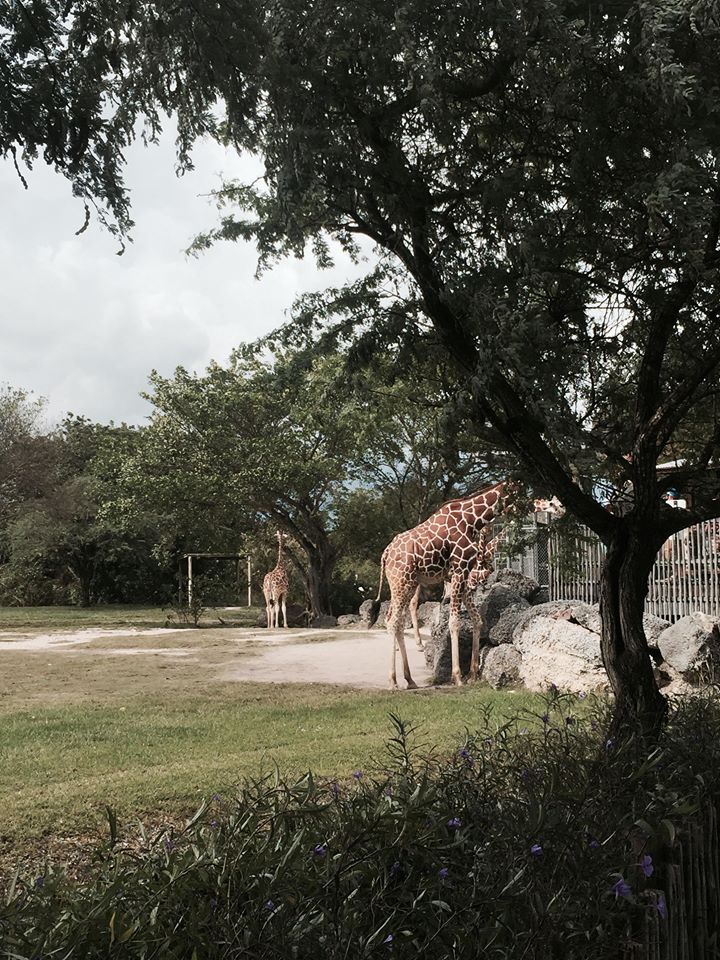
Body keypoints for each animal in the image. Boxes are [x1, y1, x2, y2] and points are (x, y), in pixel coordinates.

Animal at [368, 482, 508, 689]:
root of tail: (385, 555)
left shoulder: (464, 582)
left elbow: (477, 619)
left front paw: (473, 673)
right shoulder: (460, 574)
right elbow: (455, 621)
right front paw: (458, 676)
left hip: (406, 584)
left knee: (396, 620)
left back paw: (410, 679)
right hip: (403, 583)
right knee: (394, 619)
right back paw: (393, 681)